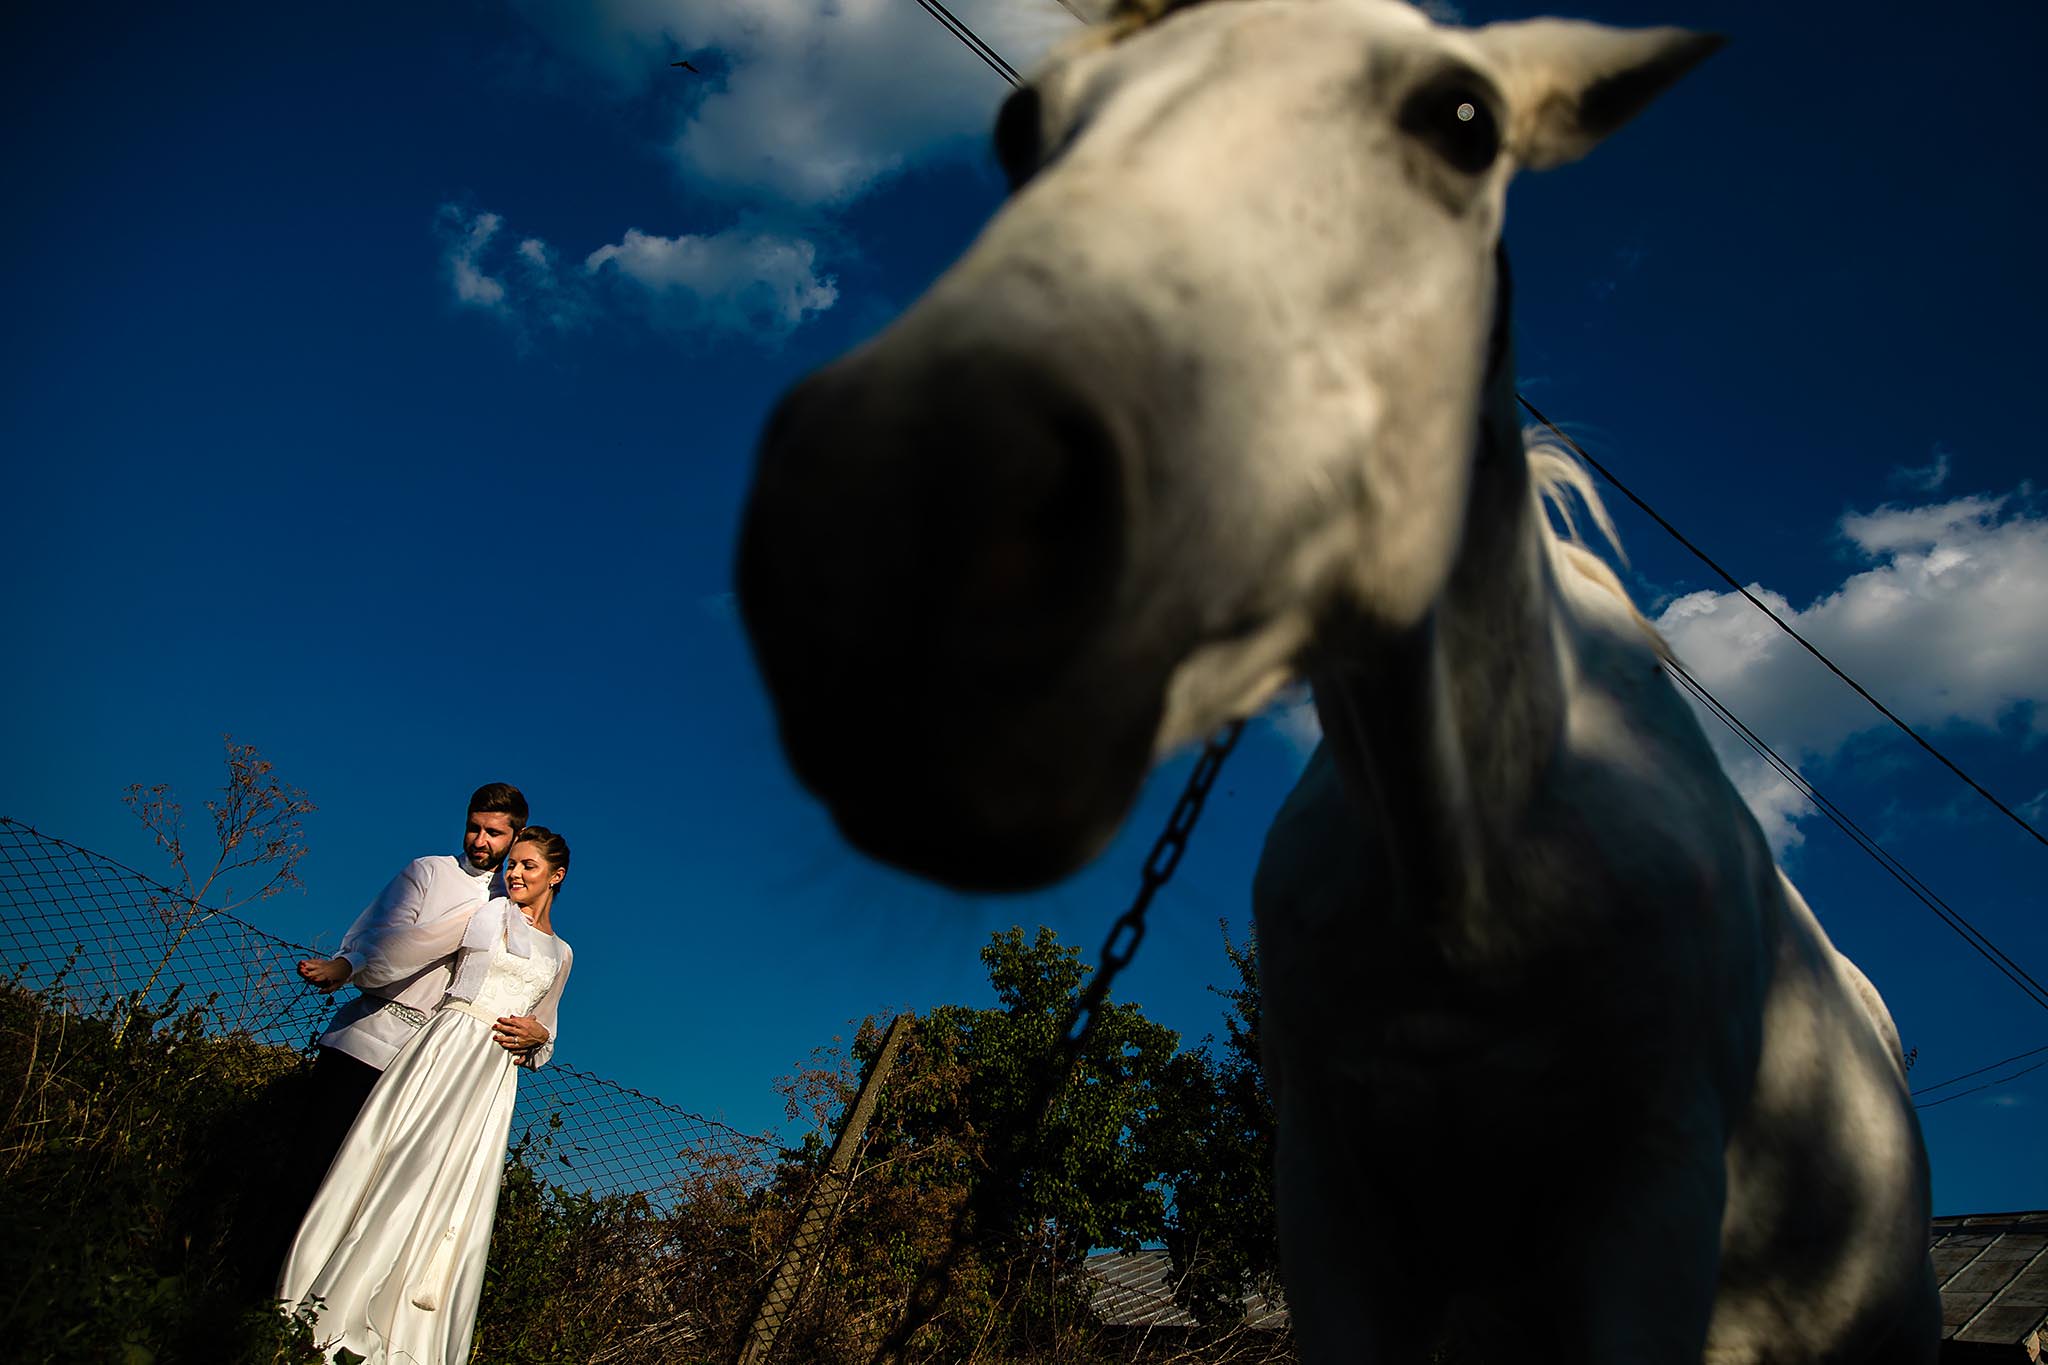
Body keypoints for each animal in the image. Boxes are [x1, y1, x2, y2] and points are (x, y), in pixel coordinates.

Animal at [737, 5, 1933, 1358]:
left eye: (1463, 121)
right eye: (1017, 126)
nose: (892, 524)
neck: (1470, 881)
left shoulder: (1653, 1212)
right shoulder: (1330, 1219)